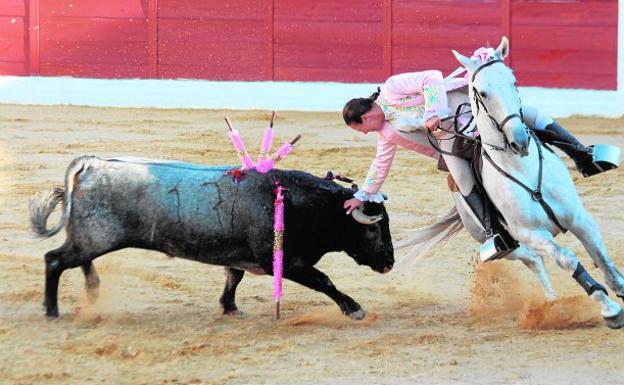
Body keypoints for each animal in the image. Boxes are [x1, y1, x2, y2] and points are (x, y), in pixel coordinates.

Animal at [30, 156, 394, 318]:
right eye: (373, 227)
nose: (390, 263)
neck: (304, 204)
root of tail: (91, 164)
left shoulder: (242, 256)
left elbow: (233, 278)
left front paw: (229, 307)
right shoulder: (287, 262)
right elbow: (324, 281)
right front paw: (354, 309)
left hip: (91, 238)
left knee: (79, 261)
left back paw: (92, 293)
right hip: (97, 237)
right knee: (55, 260)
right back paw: (52, 309)